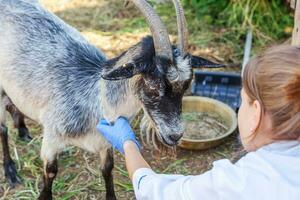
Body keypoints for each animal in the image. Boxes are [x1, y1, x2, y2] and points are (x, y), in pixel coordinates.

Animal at [0, 0, 223, 199]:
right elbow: (51, 171)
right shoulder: (52, 138)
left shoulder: (105, 142)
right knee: (2, 128)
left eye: (186, 86)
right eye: (153, 86)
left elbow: (108, 169)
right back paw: (11, 172)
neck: (94, 99)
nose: (175, 135)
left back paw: (23, 131)